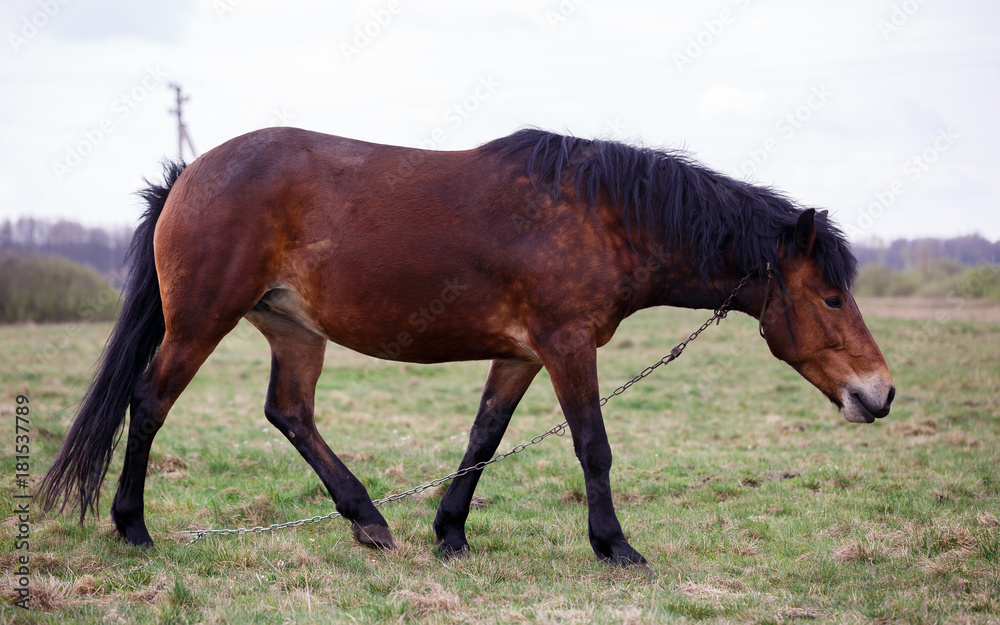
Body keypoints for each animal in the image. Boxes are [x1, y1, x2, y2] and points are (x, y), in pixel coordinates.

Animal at [41, 125, 900, 560]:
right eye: (831, 296)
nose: (880, 392)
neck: (600, 213)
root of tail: (191, 172)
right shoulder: (566, 346)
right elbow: (593, 446)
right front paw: (614, 545)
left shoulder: (521, 353)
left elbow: (484, 437)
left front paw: (449, 531)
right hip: (200, 321)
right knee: (149, 402)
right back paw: (133, 525)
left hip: (293, 330)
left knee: (289, 413)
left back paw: (368, 517)